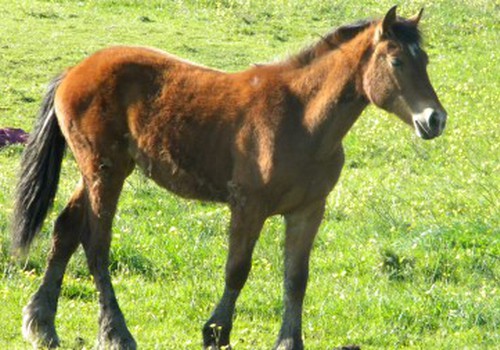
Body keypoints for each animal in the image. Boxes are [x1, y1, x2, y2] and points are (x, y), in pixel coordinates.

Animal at [12, 6, 446, 350]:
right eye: (396, 62)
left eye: (425, 60)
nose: (435, 120)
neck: (301, 119)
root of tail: (74, 71)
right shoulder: (247, 207)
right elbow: (237, 269)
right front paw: (216, 332)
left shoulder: (308, 210)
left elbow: (296, 278)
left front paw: (289, 341)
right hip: (106, 171)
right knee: (97, 244)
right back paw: (115, 334)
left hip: (98, 171)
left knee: (66, 229)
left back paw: (42, 325)